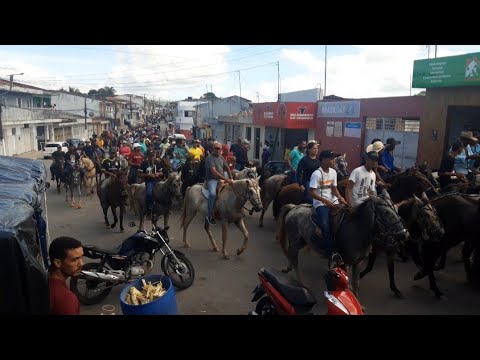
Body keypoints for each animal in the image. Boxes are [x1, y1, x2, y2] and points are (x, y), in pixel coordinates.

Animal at [278, 191, 408, 298]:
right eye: (386, 213)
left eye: (396, 210)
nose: (404, 234)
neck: (357, 230)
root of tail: (294, 207)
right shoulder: (345, 262)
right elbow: (347, 285)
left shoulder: (358, 262)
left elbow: (355, 283)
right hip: (296, 241)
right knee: (294, 258)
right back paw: (302, 283)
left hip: (299, 242)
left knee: (291, 254)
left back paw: (289, 269)